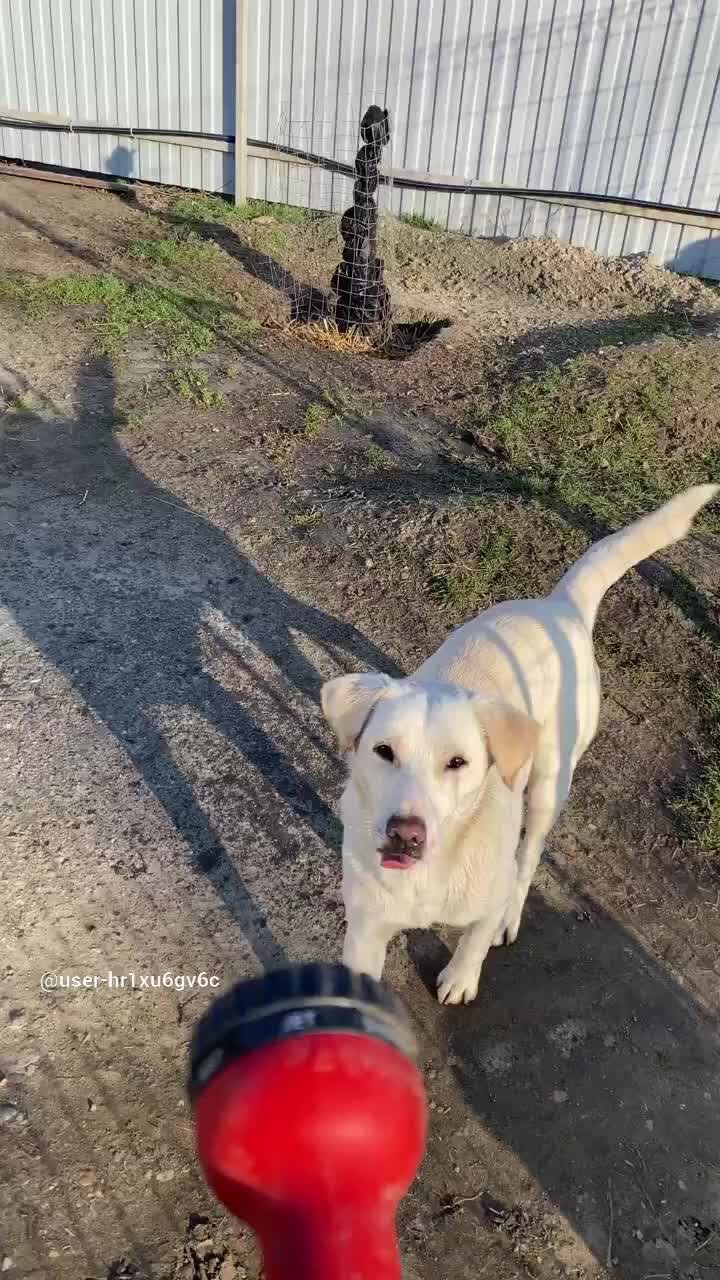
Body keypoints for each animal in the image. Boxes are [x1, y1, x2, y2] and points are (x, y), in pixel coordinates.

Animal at [322, 483, 712, 1003]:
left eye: (458, 762)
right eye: (384, 751)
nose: (406, 833)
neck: (430, 873)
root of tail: (559, 604)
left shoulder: (484, 899)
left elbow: (475, 937)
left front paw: (461, 977)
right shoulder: (365, 931)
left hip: (549, 785)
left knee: (528, 859)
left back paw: (512, 913)